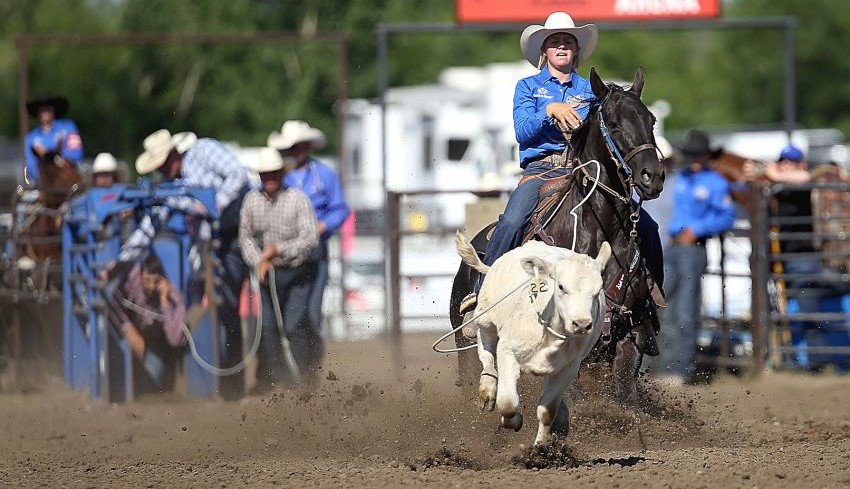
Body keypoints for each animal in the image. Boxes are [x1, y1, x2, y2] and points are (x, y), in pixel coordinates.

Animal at [454, 66, 664, 406]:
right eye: (614, 123)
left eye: (652, 121)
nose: (653, 176)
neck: (599, 230)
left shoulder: (629, 335)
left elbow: (626, 399)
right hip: (466, 345)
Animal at [454, 234, 608, 446]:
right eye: (561, 286)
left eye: (597, 290)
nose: (582, 324)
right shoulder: (507, 351)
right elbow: (508, 402)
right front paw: (515, 420)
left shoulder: (567, 368)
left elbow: (547, 411)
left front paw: (541, 447)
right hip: (485, 319)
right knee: (486, 352)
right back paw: (487, 389)